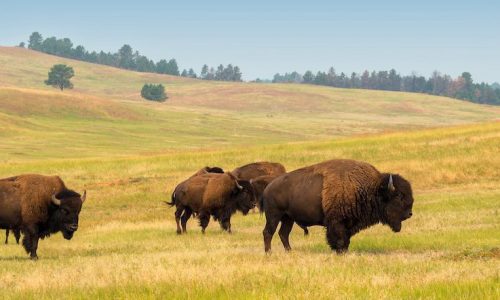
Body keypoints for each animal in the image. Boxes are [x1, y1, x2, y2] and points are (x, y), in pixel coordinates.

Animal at [262, 159, 414, 253]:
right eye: (399, 196)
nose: (409, 214)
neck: (369, 188)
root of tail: (268, 187)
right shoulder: (337, 222)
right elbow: (339, 239)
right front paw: (339, 252)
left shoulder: (348, 224)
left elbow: (346, 240)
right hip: (274, 215)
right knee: (268, 232)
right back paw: (269, 253)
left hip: (288, 218)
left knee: (283, 234)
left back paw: (290, 252)